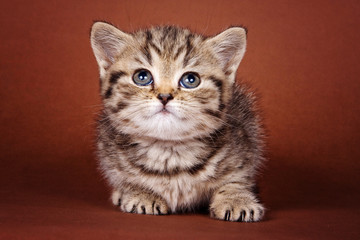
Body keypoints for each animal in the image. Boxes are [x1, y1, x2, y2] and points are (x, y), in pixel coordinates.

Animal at [90, 21, 264, 222]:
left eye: (191, 80)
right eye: (142, 77)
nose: (165, 96)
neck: (169, 150)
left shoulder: (245, 142)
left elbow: (237, 179)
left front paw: (236, 199)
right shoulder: (109, 152)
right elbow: (124, 177)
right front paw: (141, 193)